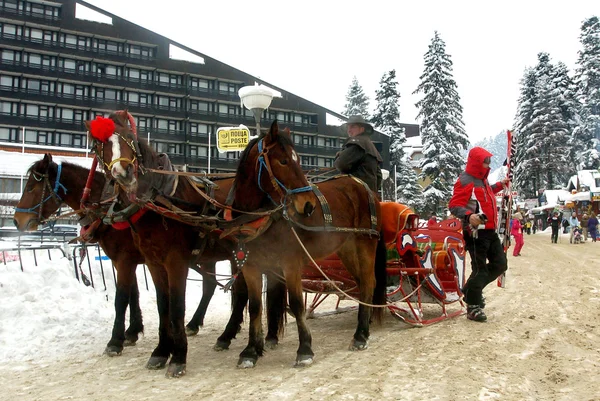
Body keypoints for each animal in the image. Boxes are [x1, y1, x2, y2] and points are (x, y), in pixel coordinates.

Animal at [86, 110, 316, 376]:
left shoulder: (174, 262)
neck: (160, 201)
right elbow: (163, 306)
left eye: (128, 138)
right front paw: (161, 351)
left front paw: (177, 356)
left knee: (245, 293)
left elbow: (176, 306)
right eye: (100, 145)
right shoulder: (153, 263)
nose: (123, 172)